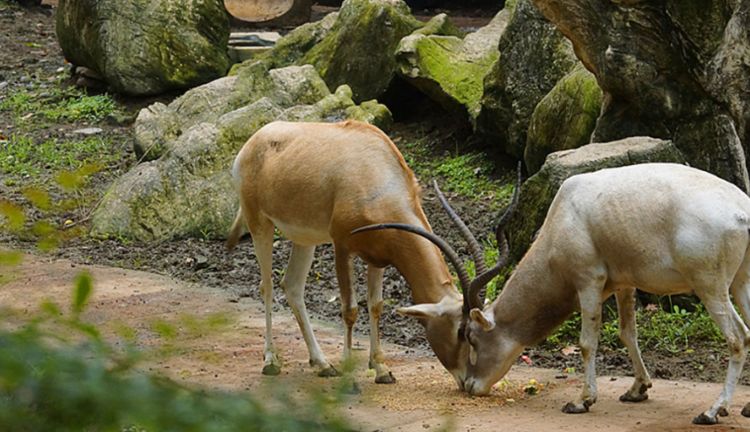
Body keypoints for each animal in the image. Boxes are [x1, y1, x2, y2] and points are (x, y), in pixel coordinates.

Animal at [226, 120, 496, 384]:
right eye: (461, 331)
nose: (465, 380)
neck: (376, 172)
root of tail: (254, 141)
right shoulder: (342, 247)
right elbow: (350, 310)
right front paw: (348, 370)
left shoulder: (378, 256)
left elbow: (376, 305)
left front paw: (381, 369)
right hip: (259, 224)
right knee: (267, 286)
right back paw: (271, 361)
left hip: (305, 238)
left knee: (292, 286)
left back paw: (322, 364)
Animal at [356, 163, 750, 426]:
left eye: (470, 336)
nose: (469, 386)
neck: (565, 214)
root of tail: (742, 211)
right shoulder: (623, 283)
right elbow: (628, 333)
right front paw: (638, 389)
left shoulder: (588, 281)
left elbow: (588, 343)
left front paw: (582, 401)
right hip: (740, 283)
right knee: (747, 331)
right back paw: (741, 407)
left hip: (710, 286)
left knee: (737, 337)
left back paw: (713, 411)